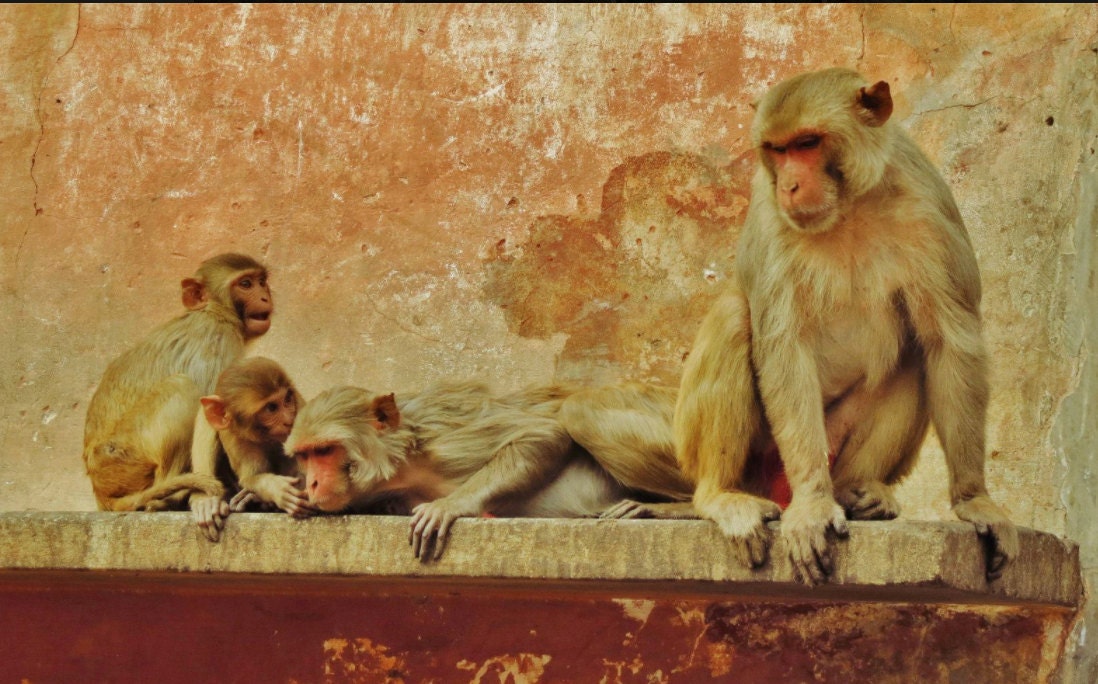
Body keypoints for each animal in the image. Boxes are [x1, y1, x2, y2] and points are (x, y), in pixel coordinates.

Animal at [82, 253, 273, 513]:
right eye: (245, 284)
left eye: (261, 281)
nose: (265, 296)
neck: (214, 311)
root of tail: (100, 490)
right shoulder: (218, 338)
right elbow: (214, 412)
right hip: (120, 456)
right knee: (180, 387)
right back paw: (168, 499)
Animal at [189, 357, 313, 541]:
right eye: (271, 408)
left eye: (287, 399)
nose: (289, 420)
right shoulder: (235, 435)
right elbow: (251, 477)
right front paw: (274, 489)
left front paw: (258, 496)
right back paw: (206, 501)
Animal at [284, 380, 680, 561]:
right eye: (304, 456)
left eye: (325, 450)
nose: (313, 482)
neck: (404, 465)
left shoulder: (445, 439)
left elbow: (543, 432)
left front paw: (451, 505)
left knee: (579, 408)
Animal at [668, 68, 1017, 584]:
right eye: (777, 149)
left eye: (808, 143)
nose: (790, 185)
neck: (849, 207)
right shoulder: (770, 218)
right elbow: (783, 346)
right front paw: (814, 504)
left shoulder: (931, 210)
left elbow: (948, 342)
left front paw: (975, 499)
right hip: (755, 458)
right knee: (735, 318)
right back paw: (724, 494)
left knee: (916, 354)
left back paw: (862, 491)